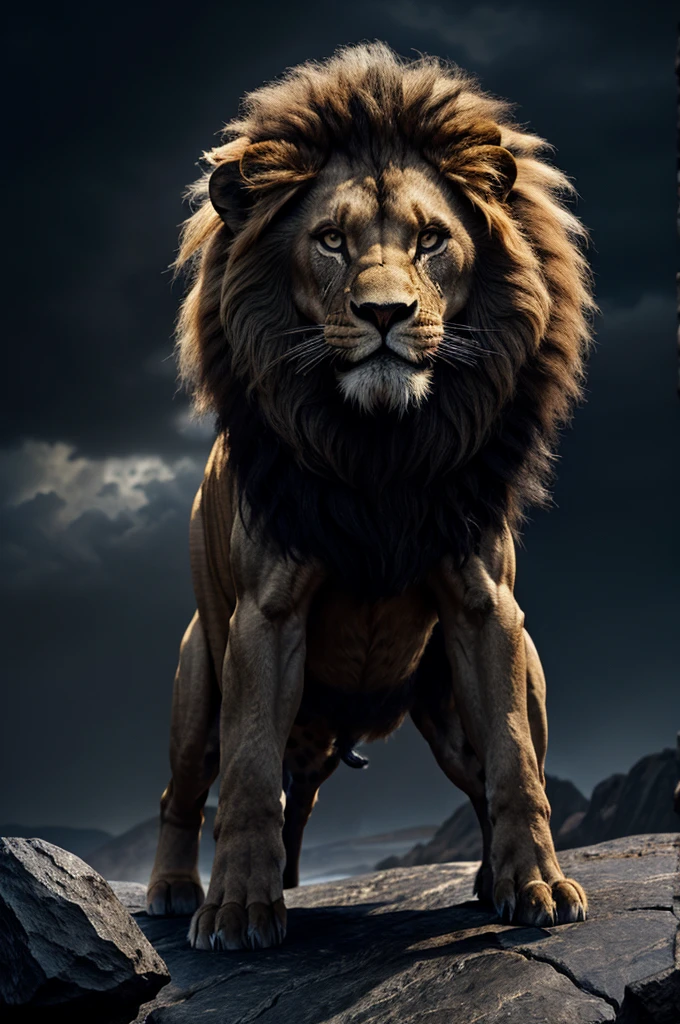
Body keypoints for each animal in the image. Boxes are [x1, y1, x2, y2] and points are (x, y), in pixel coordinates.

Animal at [147, 42, 595, 951]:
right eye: (329, 241)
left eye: (431, 240)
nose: (385, 313)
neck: (379, 452)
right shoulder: (266, 615)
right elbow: (250, 777)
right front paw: (238, 909)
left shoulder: (485, 607)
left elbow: (516, 767)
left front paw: (535, 885)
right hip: (197, 681)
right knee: (185, 791)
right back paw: (175, 891)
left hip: (474, 695)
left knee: (484, 770)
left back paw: (493, 878)